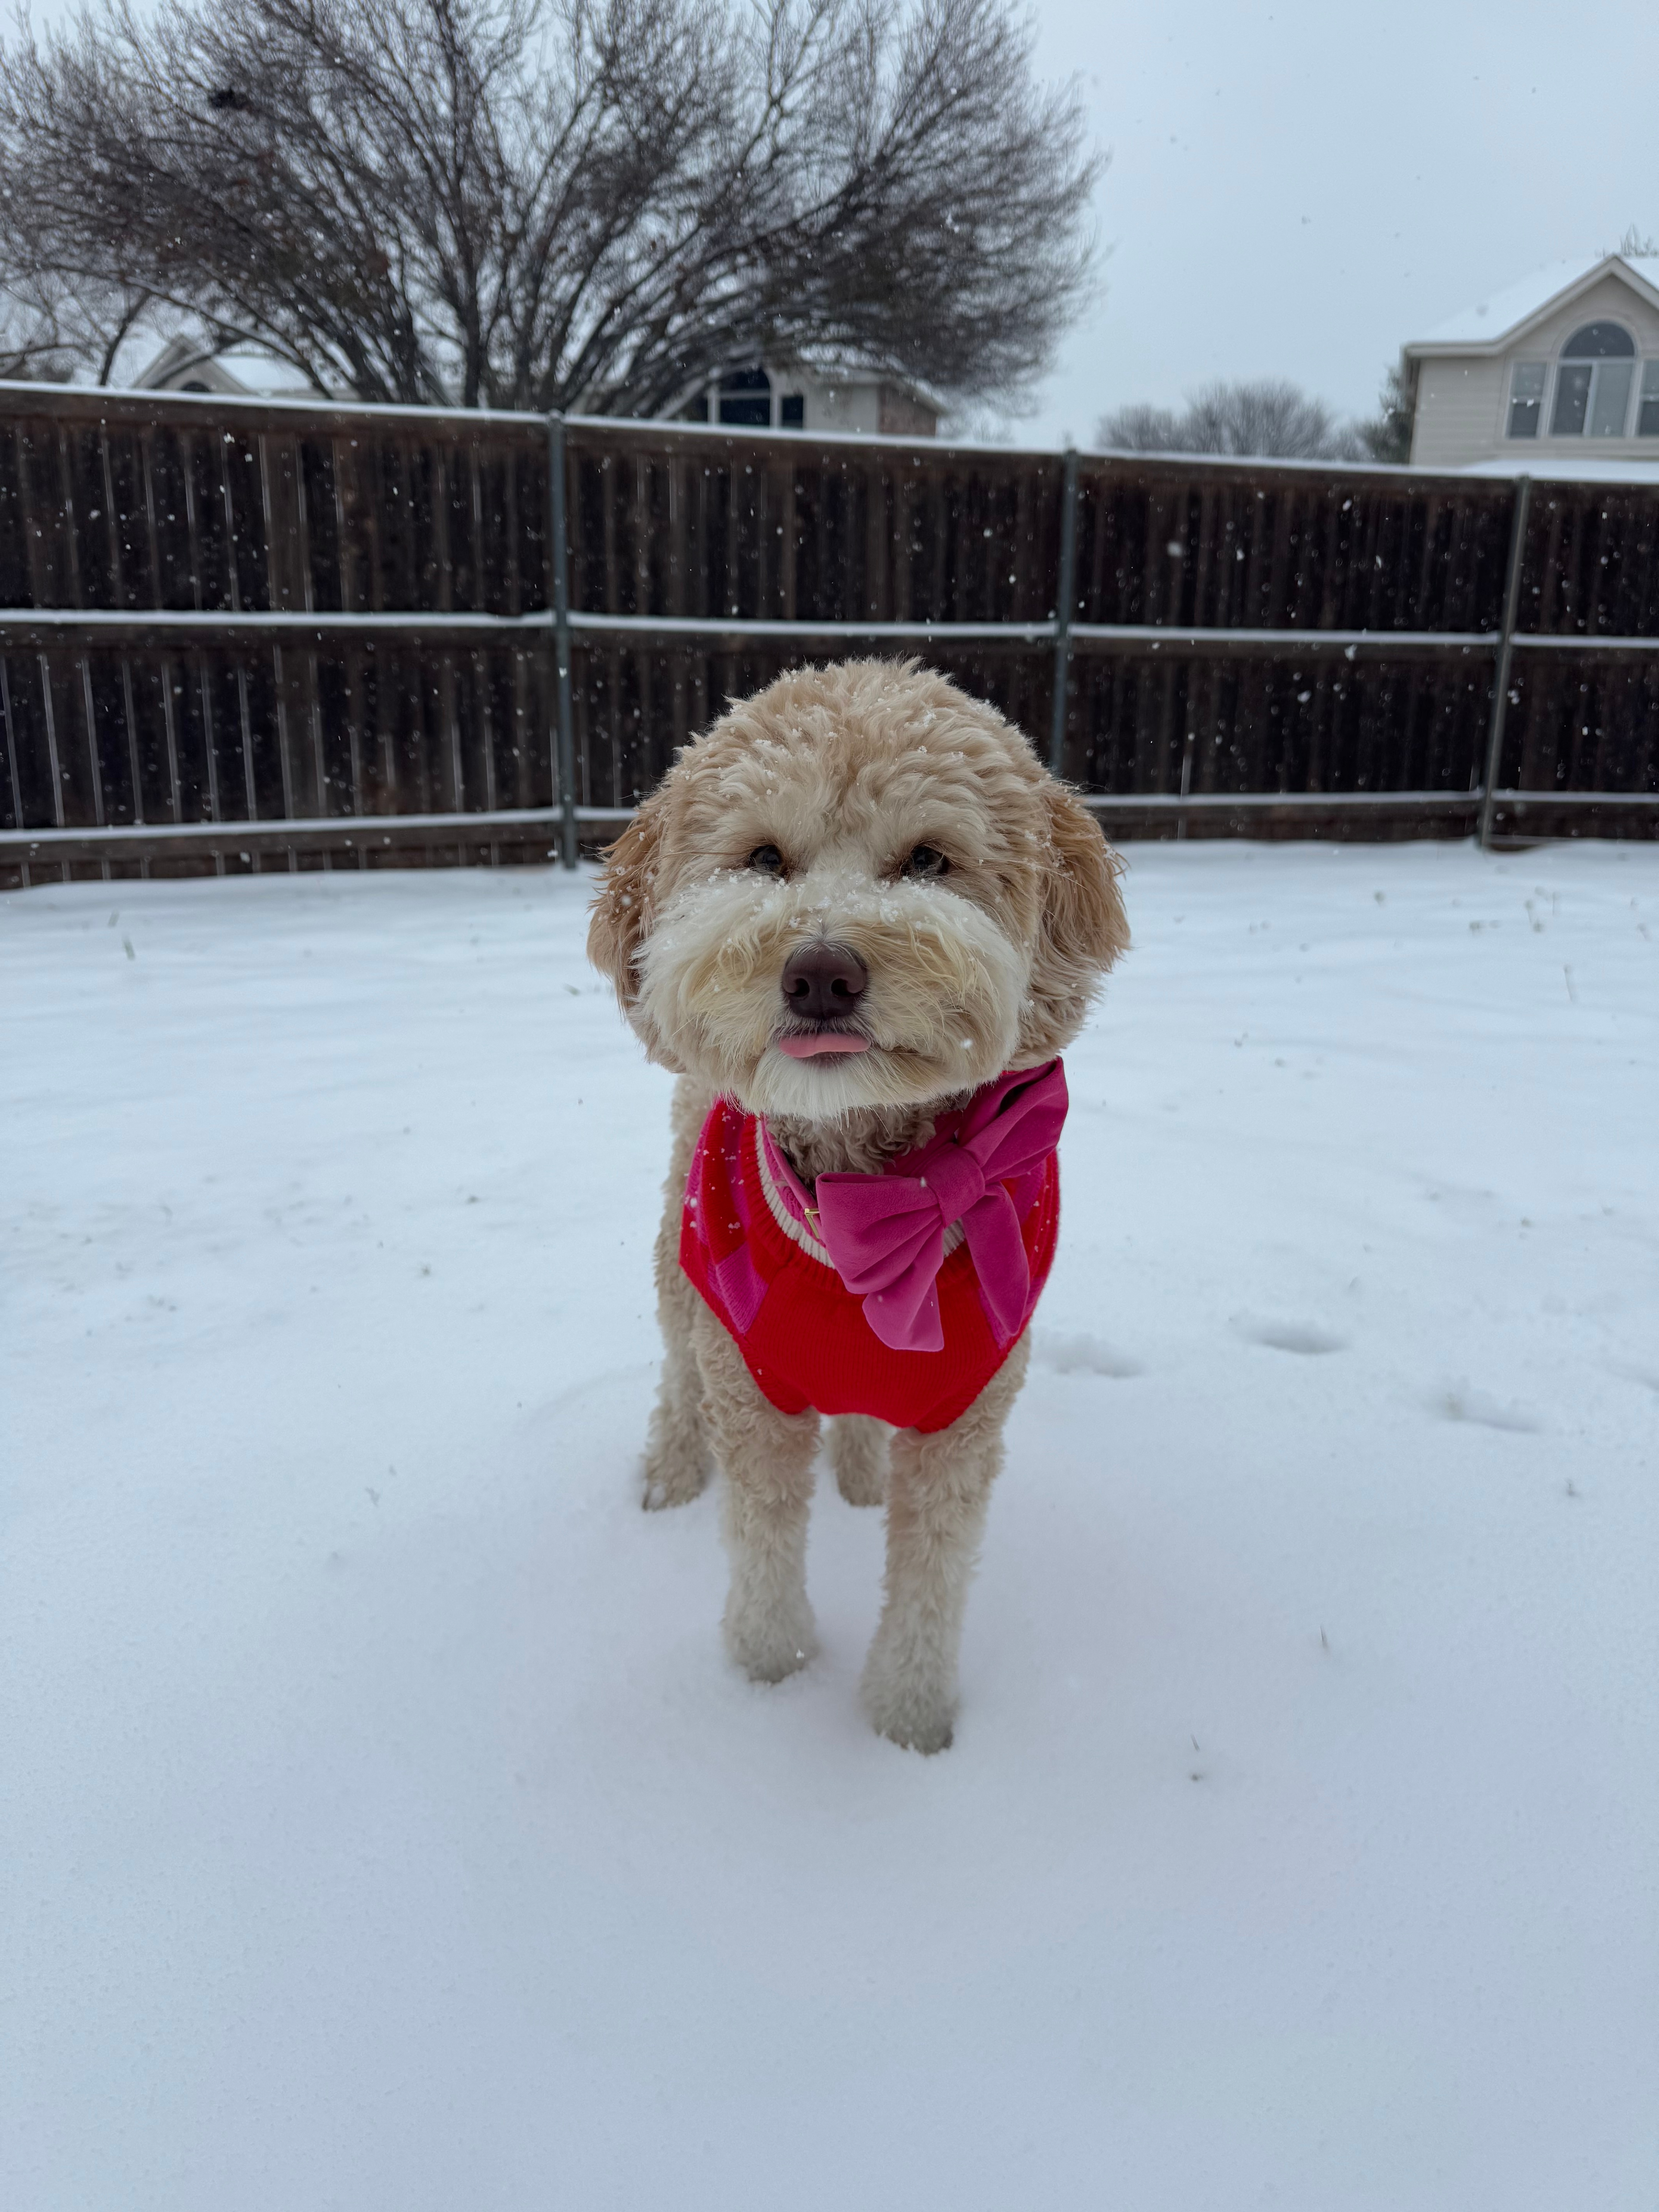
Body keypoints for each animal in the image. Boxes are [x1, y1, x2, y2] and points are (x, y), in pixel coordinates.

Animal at [588, 654, 1132, 1743]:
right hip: (681, 1260)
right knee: (675, 1368)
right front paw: (768, 1671)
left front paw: (909, 1722)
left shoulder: (968, 1413)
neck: (870, 1207)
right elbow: (761, 1539)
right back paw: (671, 1470)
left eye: (926, 860)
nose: (821, 973)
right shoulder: (751, 1383)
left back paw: (861, 1473)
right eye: (765, 857)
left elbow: (932, 1578)